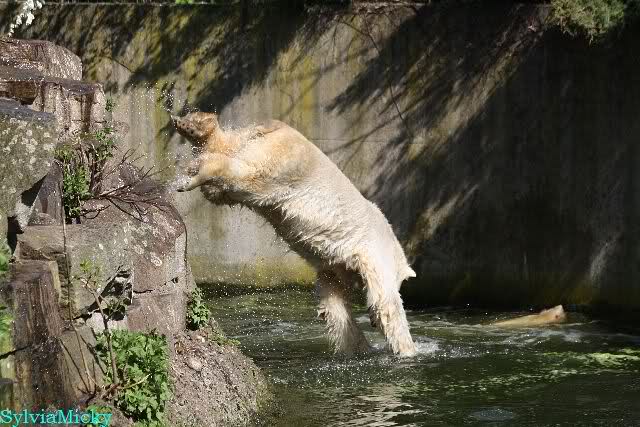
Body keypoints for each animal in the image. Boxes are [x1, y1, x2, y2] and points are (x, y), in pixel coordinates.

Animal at [172, 111, 417, 357]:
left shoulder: (335, 266)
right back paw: (194, 173)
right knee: (247, 176)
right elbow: (387, 302)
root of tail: (278, 127)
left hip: (262, 147)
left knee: (227, 159)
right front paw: (408, 350)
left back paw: (193, 128)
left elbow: (333, 302)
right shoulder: (374, 251)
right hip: (287, 167)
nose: (372, 324)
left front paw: (359, 348)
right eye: (401, 284)